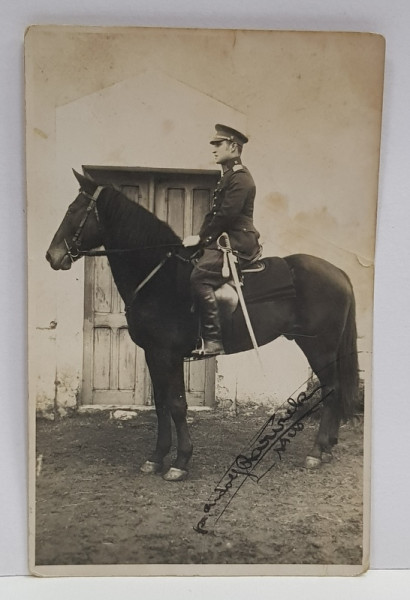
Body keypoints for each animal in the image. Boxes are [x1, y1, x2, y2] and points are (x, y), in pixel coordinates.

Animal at [46, 171, 358, 480]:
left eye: (73, 210)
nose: (52, 256)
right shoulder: (152, 354)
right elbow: (161, 405)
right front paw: (156, 458)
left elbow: (176, 405)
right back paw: (327, 447)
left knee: (331, 389)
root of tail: (339, 272)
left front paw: (180, 461)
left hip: (319, 347)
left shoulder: (167, 355)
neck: (158, 275)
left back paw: (316, 452)